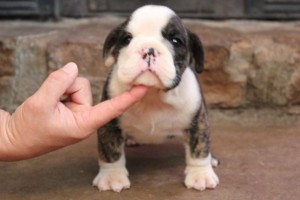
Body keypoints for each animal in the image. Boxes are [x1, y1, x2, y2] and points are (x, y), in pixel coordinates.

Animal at [92, 4, 219, 192]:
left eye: (176, 41)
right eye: (126, 39)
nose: (149, 50)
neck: (152, 95)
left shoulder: (198, 120)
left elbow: (199, 147)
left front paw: (200, 174)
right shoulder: (109, 122)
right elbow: (110, 150)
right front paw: (112, 176)